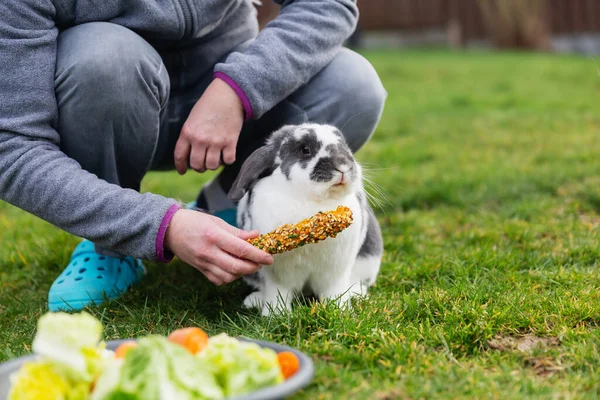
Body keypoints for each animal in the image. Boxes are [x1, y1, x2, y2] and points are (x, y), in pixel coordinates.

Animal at [227, 122, 382, 316]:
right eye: (305, 149)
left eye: (345, 145)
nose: (343, 165)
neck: (311, 199)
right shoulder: (276, 274)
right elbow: (277, 293)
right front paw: (275, 315)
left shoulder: (336, 270)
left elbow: (335, 292)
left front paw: (341, 312)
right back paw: (252, 301)